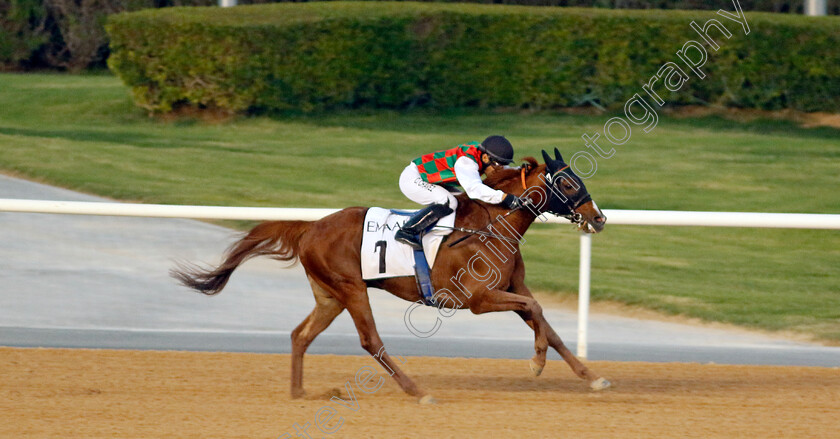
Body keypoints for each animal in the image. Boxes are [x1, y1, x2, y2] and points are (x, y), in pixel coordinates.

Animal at [174, 150, 612, 404]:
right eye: (567, 181)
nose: (598, 218)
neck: (493, 224)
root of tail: (311, 227)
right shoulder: (477, 300)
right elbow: (536, 310)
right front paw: (536, 363)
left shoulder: (510, 288)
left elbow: (547, 324)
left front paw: (591, 378)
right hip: (351, 288)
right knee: (371, 341)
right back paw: (416, 390)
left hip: (329, 295)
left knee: (301, 335)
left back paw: (300, 392)